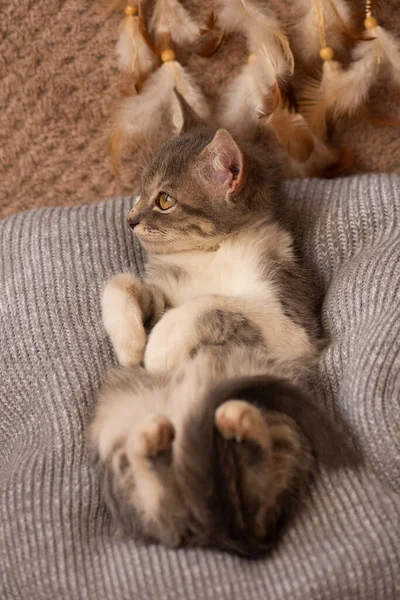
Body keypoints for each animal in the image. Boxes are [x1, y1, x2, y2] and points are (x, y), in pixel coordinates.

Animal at [89, 91, 348, 556]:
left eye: (165, 200)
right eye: (140, 191)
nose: (130, 219)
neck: (214, 251)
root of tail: (208, 521)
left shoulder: (295, 322)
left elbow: (215, 303)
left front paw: (161, 347)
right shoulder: (165, 293)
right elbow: (121, 283)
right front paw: (130, 343)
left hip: (283, 408)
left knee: (260, 490)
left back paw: (238, 422)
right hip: (117, 428)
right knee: (156, 505)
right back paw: (152, 440)